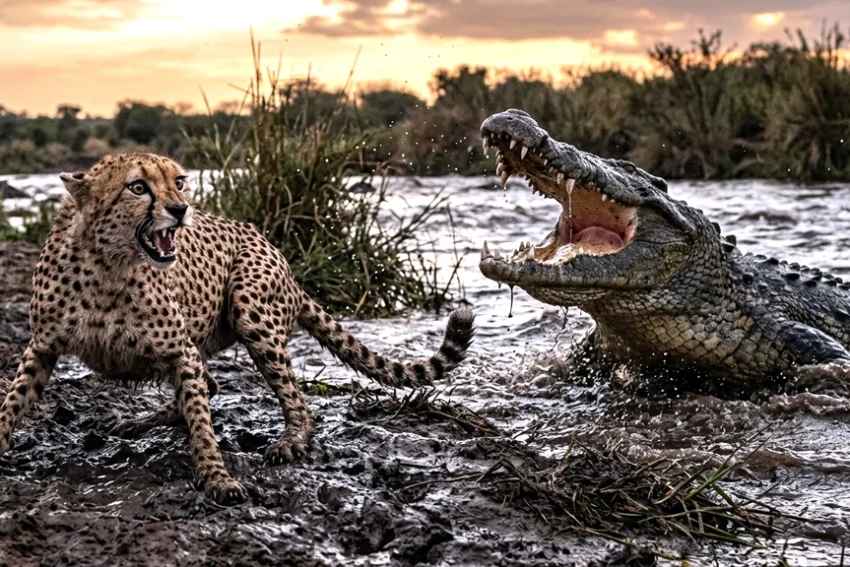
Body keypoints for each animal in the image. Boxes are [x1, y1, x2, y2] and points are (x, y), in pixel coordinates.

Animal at [0, 153, 475, 505]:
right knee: (211, 385)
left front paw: (216, 478)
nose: (180, 209)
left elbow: (202, 425)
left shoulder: (182, 351)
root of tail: (276, 253)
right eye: (137, 187)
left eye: (180, 182)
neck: (108, 264)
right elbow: (12, 401)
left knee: (295, 403)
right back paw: (140, 422)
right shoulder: (42, 346)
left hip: (251, 310)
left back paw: (290, 439)